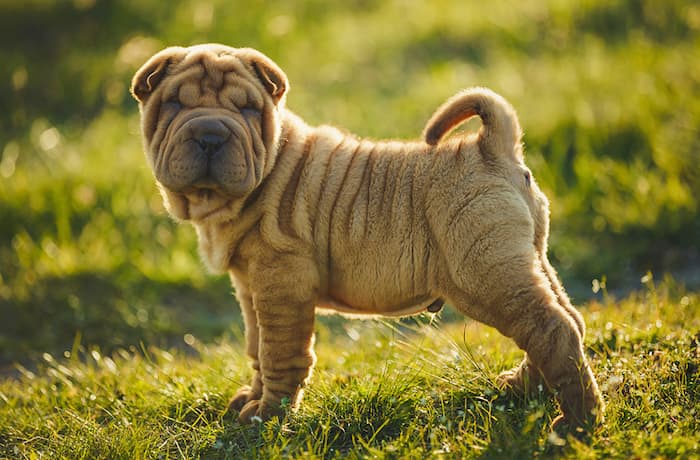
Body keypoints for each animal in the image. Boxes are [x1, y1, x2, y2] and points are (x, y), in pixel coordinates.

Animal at [131, 42, 600, 432]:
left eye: (247, 109)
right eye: (174, 103)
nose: (210, 134)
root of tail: (491, 146)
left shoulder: (282, 284)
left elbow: (280, 352)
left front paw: (267, 417)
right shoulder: (250, 288)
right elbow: (256, 347)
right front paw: (251, 399)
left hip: (487, 272)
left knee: (551, 328)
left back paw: (577, 421)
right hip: (527, 260)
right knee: (566, 320)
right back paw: (523, 388)